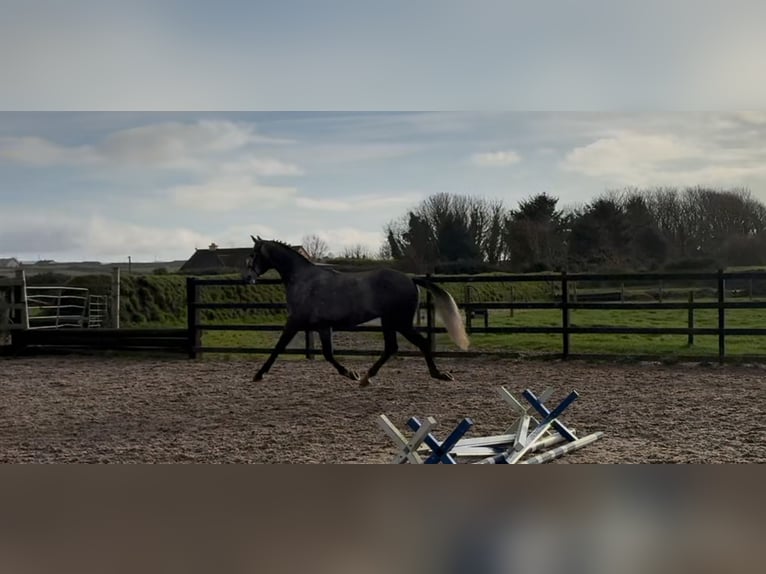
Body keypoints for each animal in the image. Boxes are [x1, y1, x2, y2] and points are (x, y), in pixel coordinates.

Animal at [246, 236, 472, 390]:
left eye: (253, 254)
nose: (247, 278)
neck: (303, 279)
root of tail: (410, 279)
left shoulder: (294, 322)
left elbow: (278, 347)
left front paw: (259, 374)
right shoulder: (323, 327)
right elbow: (328, 354)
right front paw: (351, 373)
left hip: (400, 322)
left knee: (419, 343)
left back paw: (439, 375)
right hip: (390, 322)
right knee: (392, 347)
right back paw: (366, 377)